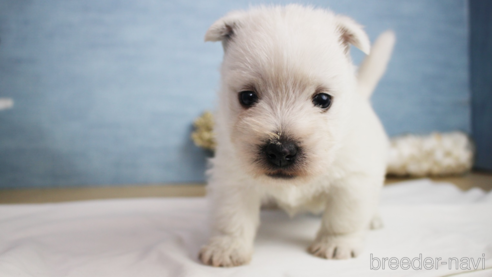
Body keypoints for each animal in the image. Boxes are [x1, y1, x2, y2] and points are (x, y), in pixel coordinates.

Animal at [198, 4, 394, 266]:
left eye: (323, 99)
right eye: (247, 97)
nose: (281, 151)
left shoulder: (353, 178)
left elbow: (343, 217)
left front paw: (335, 244)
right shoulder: (232, 177)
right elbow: (231, 216)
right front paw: (226, 248)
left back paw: (373, 218)